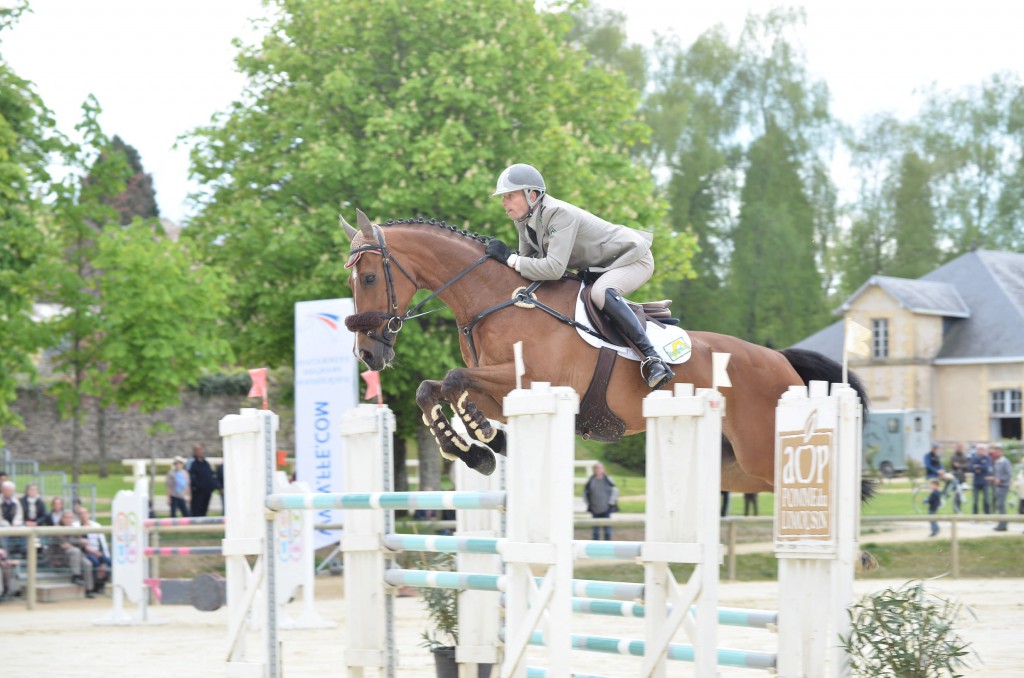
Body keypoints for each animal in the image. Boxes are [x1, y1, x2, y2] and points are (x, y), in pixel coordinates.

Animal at [344, 209, 872, 501]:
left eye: (368, 277)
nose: (368, 354)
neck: (497, 300)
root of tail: (781, 360)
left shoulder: (533, 382)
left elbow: (454, 380)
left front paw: (483, 440)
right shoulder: (500, 389)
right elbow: (431, 389)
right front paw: (474, 449)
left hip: (762, 451)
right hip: (738, 466)